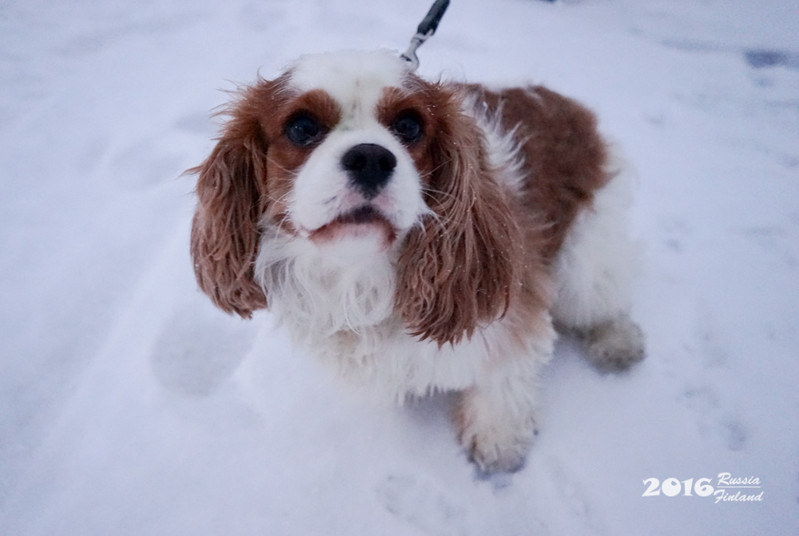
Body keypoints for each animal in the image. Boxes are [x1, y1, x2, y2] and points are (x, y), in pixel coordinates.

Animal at [191, 49, 648, 468]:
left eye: (409, 125)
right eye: (301, 127)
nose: (371, 157)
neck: (359, 272)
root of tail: (566, 102)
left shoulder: (512, 309)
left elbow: (504, 377)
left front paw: (498, 440)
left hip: (587, 253)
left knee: (601, 297)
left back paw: (617, 339)